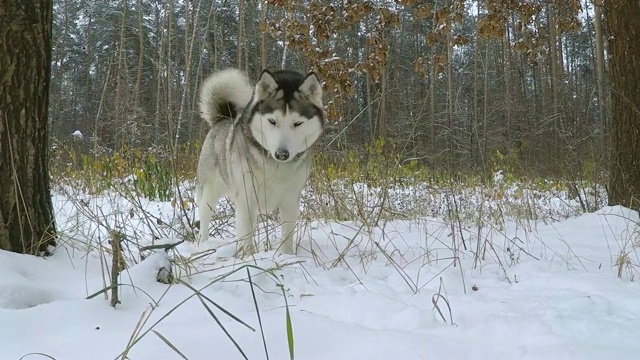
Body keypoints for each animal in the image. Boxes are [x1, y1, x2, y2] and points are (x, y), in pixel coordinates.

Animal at [195, 68, 324, 256]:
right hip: (209, 193)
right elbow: (246, 237)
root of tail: (223, 117)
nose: (282, 154)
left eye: (297, 123)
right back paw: (202, 245)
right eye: (272, 121)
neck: (275, 166)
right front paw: (247, 257)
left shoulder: (290, 199)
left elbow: (287, 235)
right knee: (204, 219)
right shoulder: (246, 198)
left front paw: (286, 257)